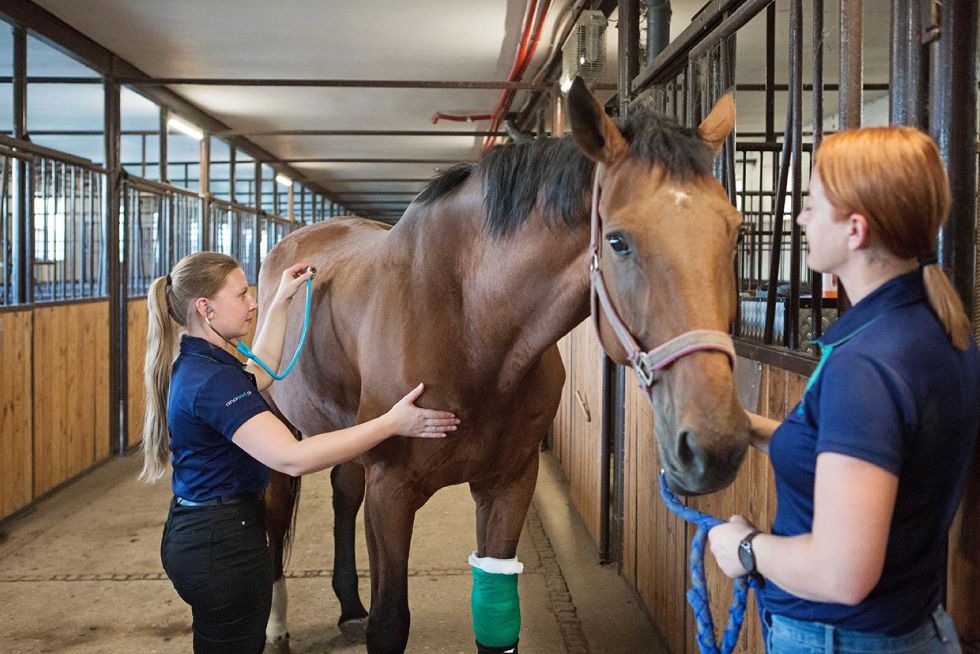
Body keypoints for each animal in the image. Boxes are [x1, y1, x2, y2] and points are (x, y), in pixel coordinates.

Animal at [256, 79, 748, 652]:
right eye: (618, 240)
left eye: (736, 231)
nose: (714, 444)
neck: (471, 327)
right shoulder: (391, 493)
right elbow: (389, 623)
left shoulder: (509, 485)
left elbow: (496, 623)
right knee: (273, 511)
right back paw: (275, 624)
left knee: (342, 494)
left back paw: (349, 605)